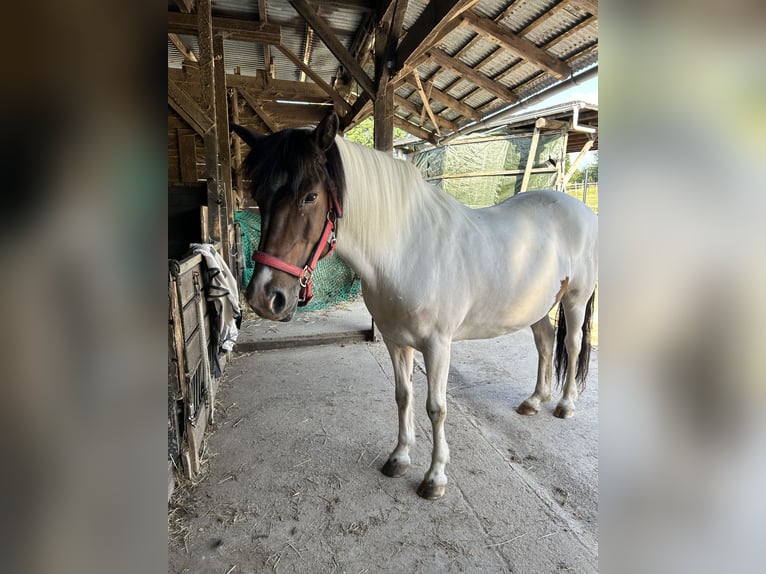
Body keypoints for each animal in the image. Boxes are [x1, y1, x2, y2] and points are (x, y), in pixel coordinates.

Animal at [231, 112, 598, 499]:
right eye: (259, 196)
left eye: (310, 196)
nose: (264, 297)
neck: (405, 250)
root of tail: (582, 211)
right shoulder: (396, 341)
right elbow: (403, 396)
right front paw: (399, 458)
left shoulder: (437, 346)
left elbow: (435, 408)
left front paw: (435, 478)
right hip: (538, 305)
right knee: (545, 341)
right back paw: (535, 400)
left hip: (575, 300)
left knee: (573, 344)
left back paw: (565, 404)